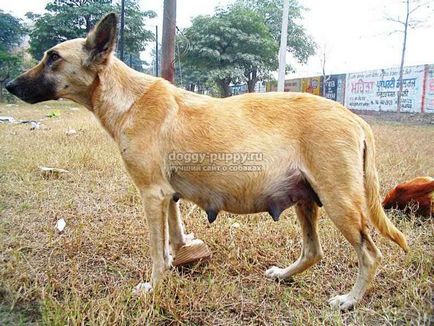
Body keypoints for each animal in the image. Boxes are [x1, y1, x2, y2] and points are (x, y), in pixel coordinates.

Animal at [5, 12, 408, 308]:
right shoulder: (167, 196)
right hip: (306, 199)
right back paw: (284, 275)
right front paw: (178, 260)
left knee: (371, 255)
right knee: (314, 251)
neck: (127, 98)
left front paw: (153, 288)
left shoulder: (151, 195)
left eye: (53, 57)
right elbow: (173, 238)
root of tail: (355, 118)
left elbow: (156, 252)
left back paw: (349, 301)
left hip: (340, 203)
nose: (9, 85)